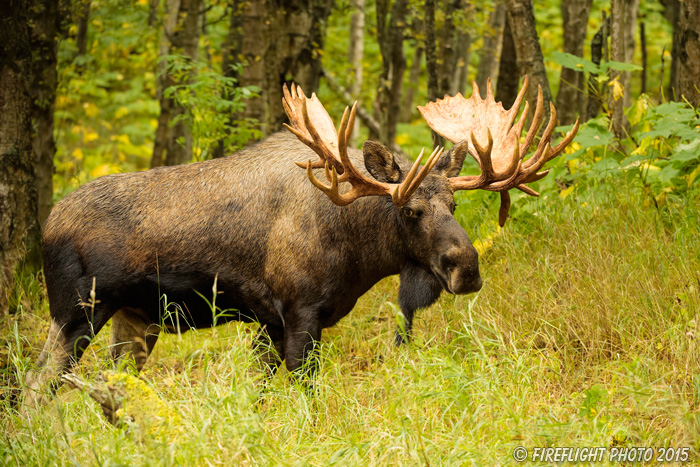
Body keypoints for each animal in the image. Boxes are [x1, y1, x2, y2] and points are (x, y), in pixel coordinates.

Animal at [24, 78, 576, 404]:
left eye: (455, 206)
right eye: (411, 211)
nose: (467, 267)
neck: (357, 252)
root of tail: (45, 226)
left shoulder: (270, 323)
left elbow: (262, 397)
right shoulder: (299, 312)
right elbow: (303, 397)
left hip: (135, 319)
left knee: (107, 388)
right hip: (76, 311)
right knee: (35, 386)